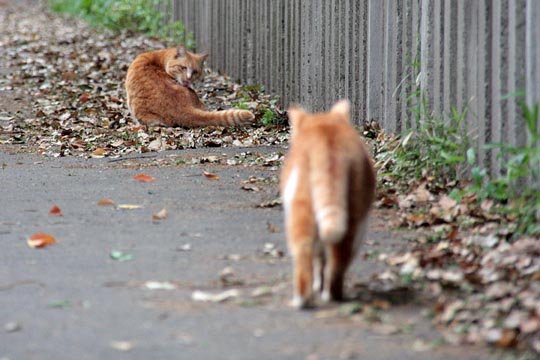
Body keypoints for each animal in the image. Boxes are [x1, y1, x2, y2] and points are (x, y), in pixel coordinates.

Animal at [282, 100, 376, 308]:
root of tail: (326, 144)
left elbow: (319, 259)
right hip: (352, 211)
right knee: (337, 257)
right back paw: (328, 295)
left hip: (302, 207)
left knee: (306, 253)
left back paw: (307, 297)